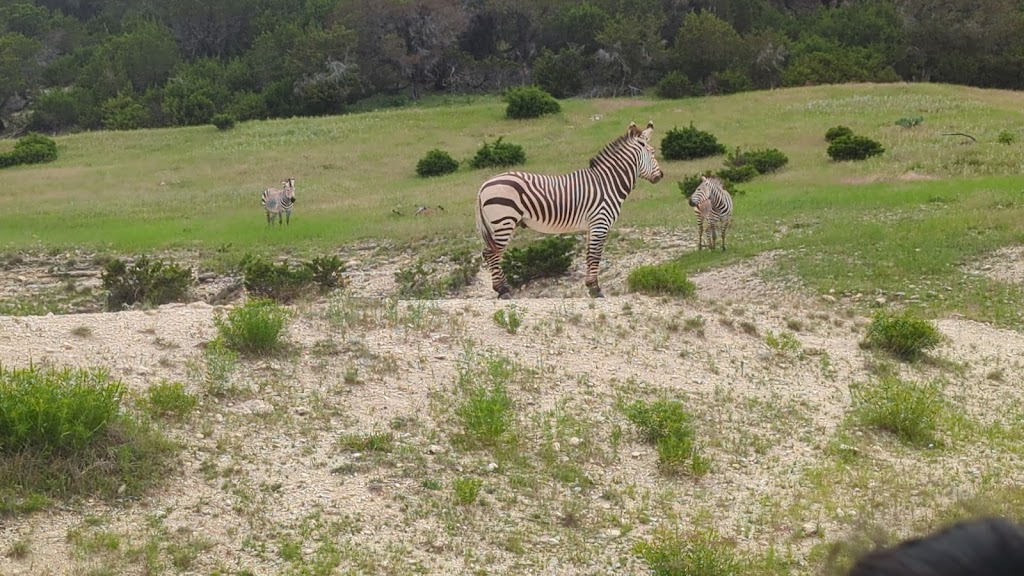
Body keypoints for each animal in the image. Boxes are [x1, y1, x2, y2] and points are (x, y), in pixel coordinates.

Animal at [477, 119, 667, 297]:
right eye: (652, 152)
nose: (661, 176)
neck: (607, 183)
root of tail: (484, 185)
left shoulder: (592, 226)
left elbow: (589, 255)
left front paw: (590, 286)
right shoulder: (600, 223)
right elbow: (595, 255)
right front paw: (596, 289)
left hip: (499, 225)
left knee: (490, 253)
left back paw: (502, 288)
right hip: (503, 222)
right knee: (491, 253)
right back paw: (502, 290)